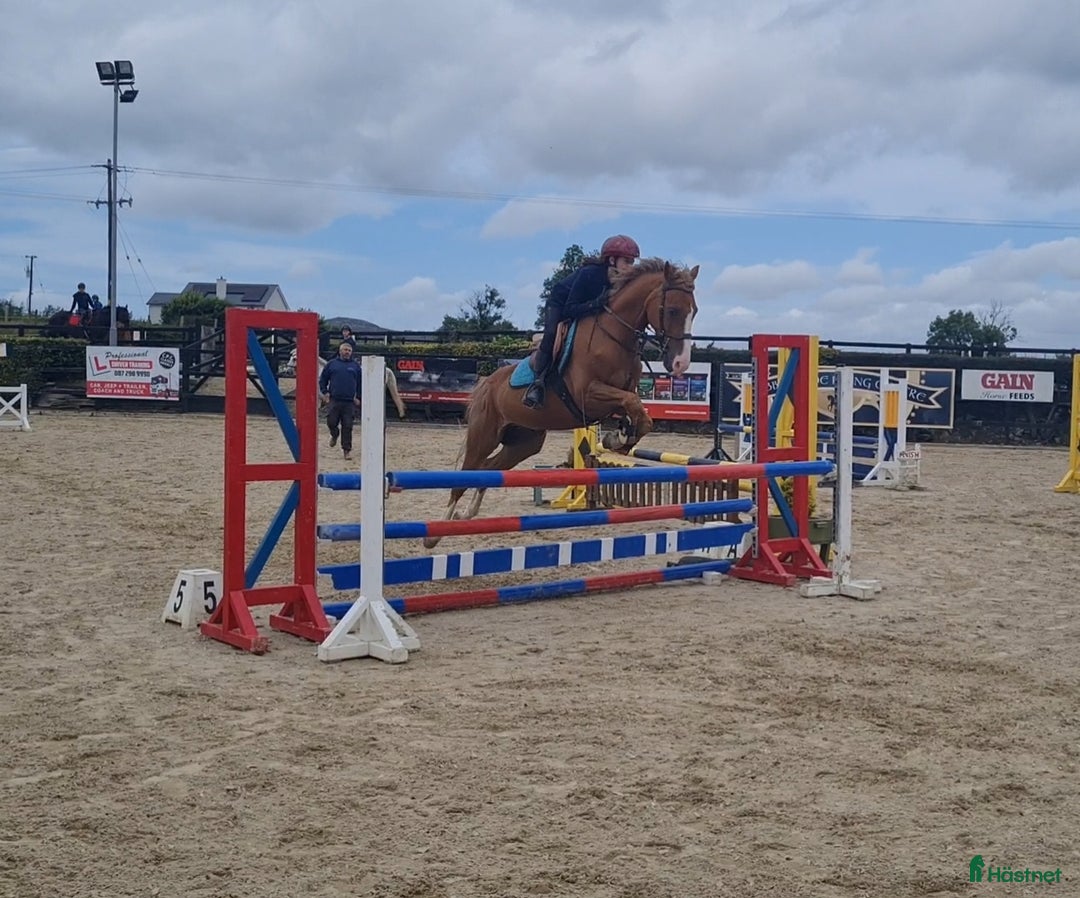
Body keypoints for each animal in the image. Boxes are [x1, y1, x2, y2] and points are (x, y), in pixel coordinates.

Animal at [423, 258, 698, 548]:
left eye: (694, 311)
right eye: (672, 310)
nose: (681, 364)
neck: (614, 336)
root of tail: (486, 383)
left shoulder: (619, 395)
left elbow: (640, 415)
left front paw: (619, 439)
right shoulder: (588, 395)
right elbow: (632, 402)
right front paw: (619, 438)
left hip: (525, 442)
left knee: (489, 469)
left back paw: (466, 514)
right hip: (484, 435)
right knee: (463, 479)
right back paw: (436, 533)